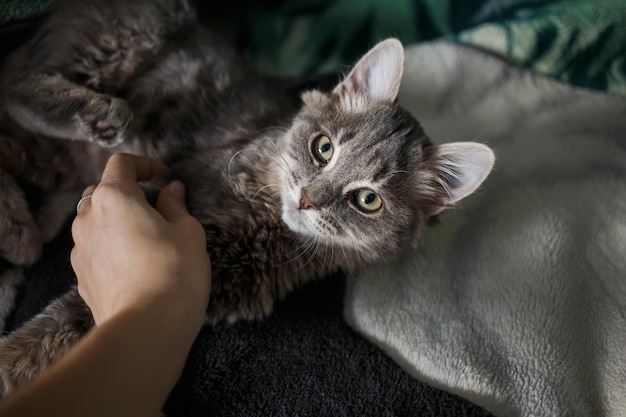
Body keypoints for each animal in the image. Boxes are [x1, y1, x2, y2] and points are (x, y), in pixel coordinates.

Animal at [0, 0, 492, 394]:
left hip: (55, 166)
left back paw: (17, 233)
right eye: (323, 148)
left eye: (368, 201)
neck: (266, 228)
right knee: (14, 82)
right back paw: (98, 117)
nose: (308, 199)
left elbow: (73, 332)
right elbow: (49, 333)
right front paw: (6, 370)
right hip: (129, 38)